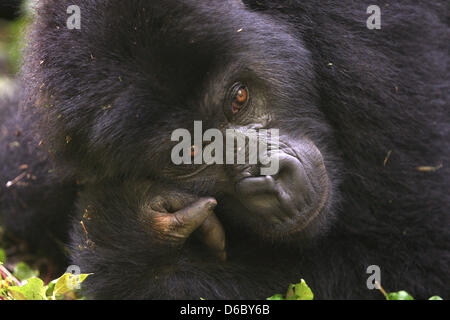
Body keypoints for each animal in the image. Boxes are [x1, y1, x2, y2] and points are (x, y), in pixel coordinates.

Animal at [0, 0, 448, 300]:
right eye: (189, 153)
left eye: (239, 98)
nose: (269, 179)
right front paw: (127, 239)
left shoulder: (374, 61)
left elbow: (419, 255)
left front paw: (135, 259)